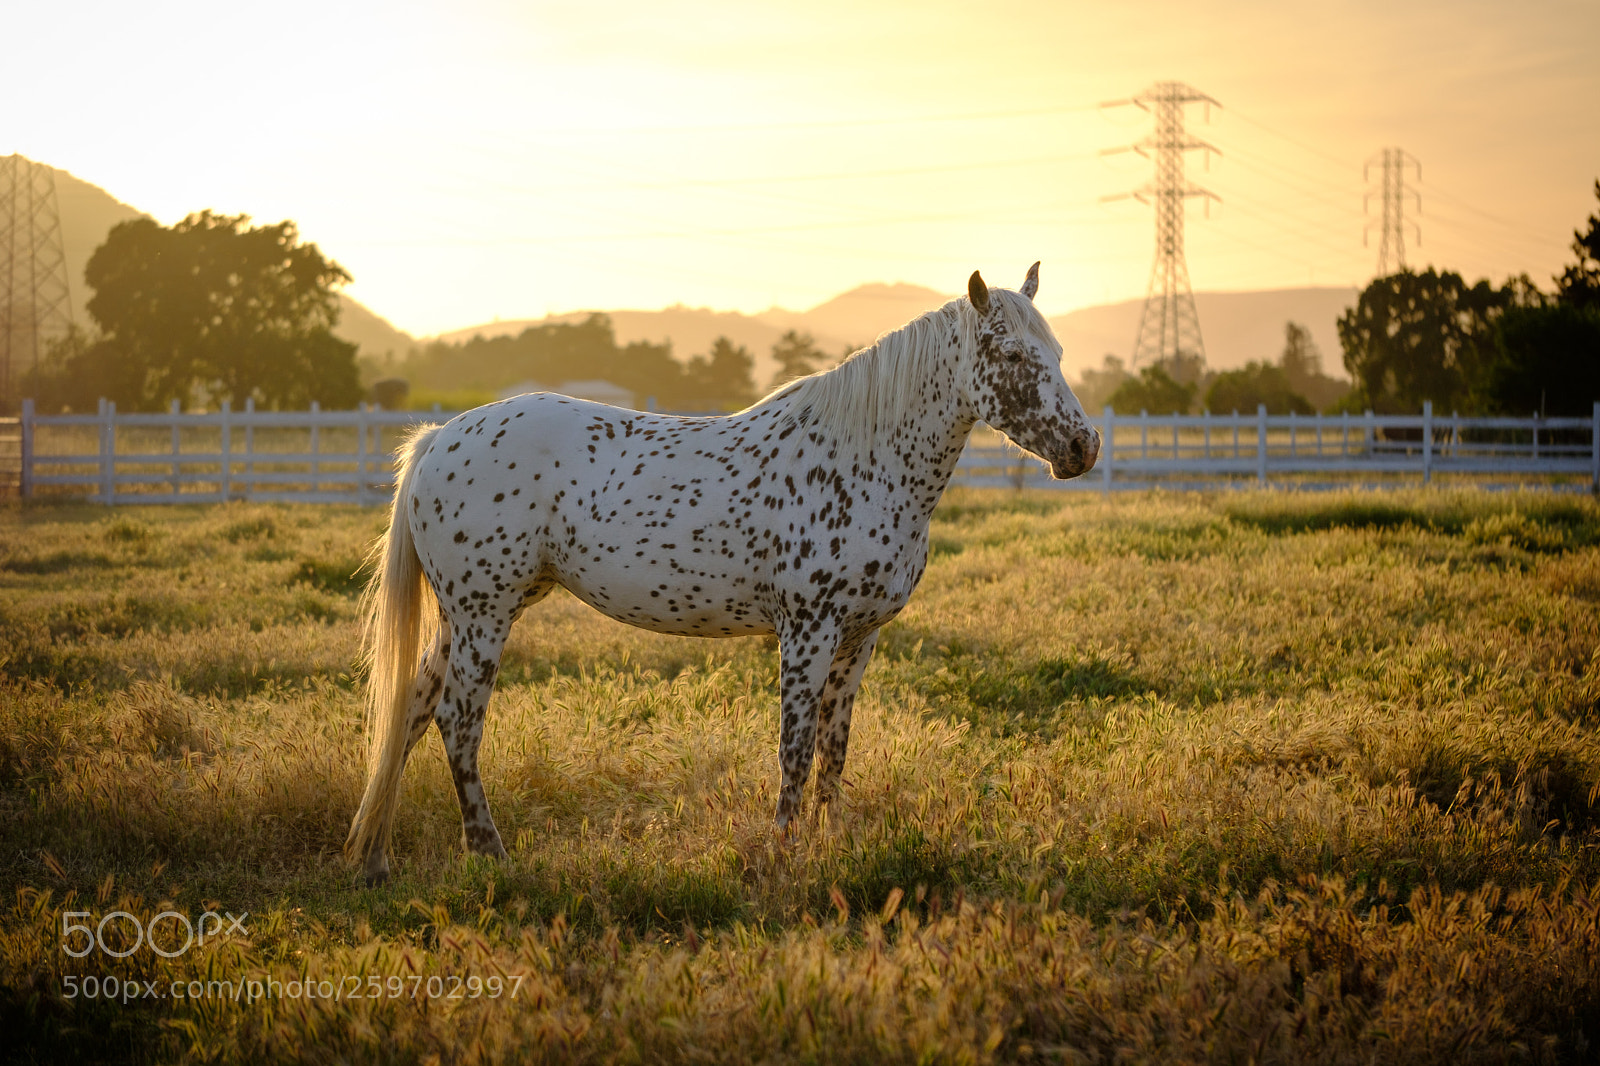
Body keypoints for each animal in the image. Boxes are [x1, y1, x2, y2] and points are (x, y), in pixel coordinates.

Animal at [346, 264, 1100, 884]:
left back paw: (376, 860)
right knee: (458, 721)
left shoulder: (859, 639)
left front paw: (831, 847)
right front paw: (784, 855)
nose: (1082, 446)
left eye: (1059, 354)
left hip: (466, 617)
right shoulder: (807, 632)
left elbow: (834, 751)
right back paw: (489, 854)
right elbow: (794, 749)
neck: (864, 458)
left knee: (412, 710)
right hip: (483, 615)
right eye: (1012, 354)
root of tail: (441, 438)